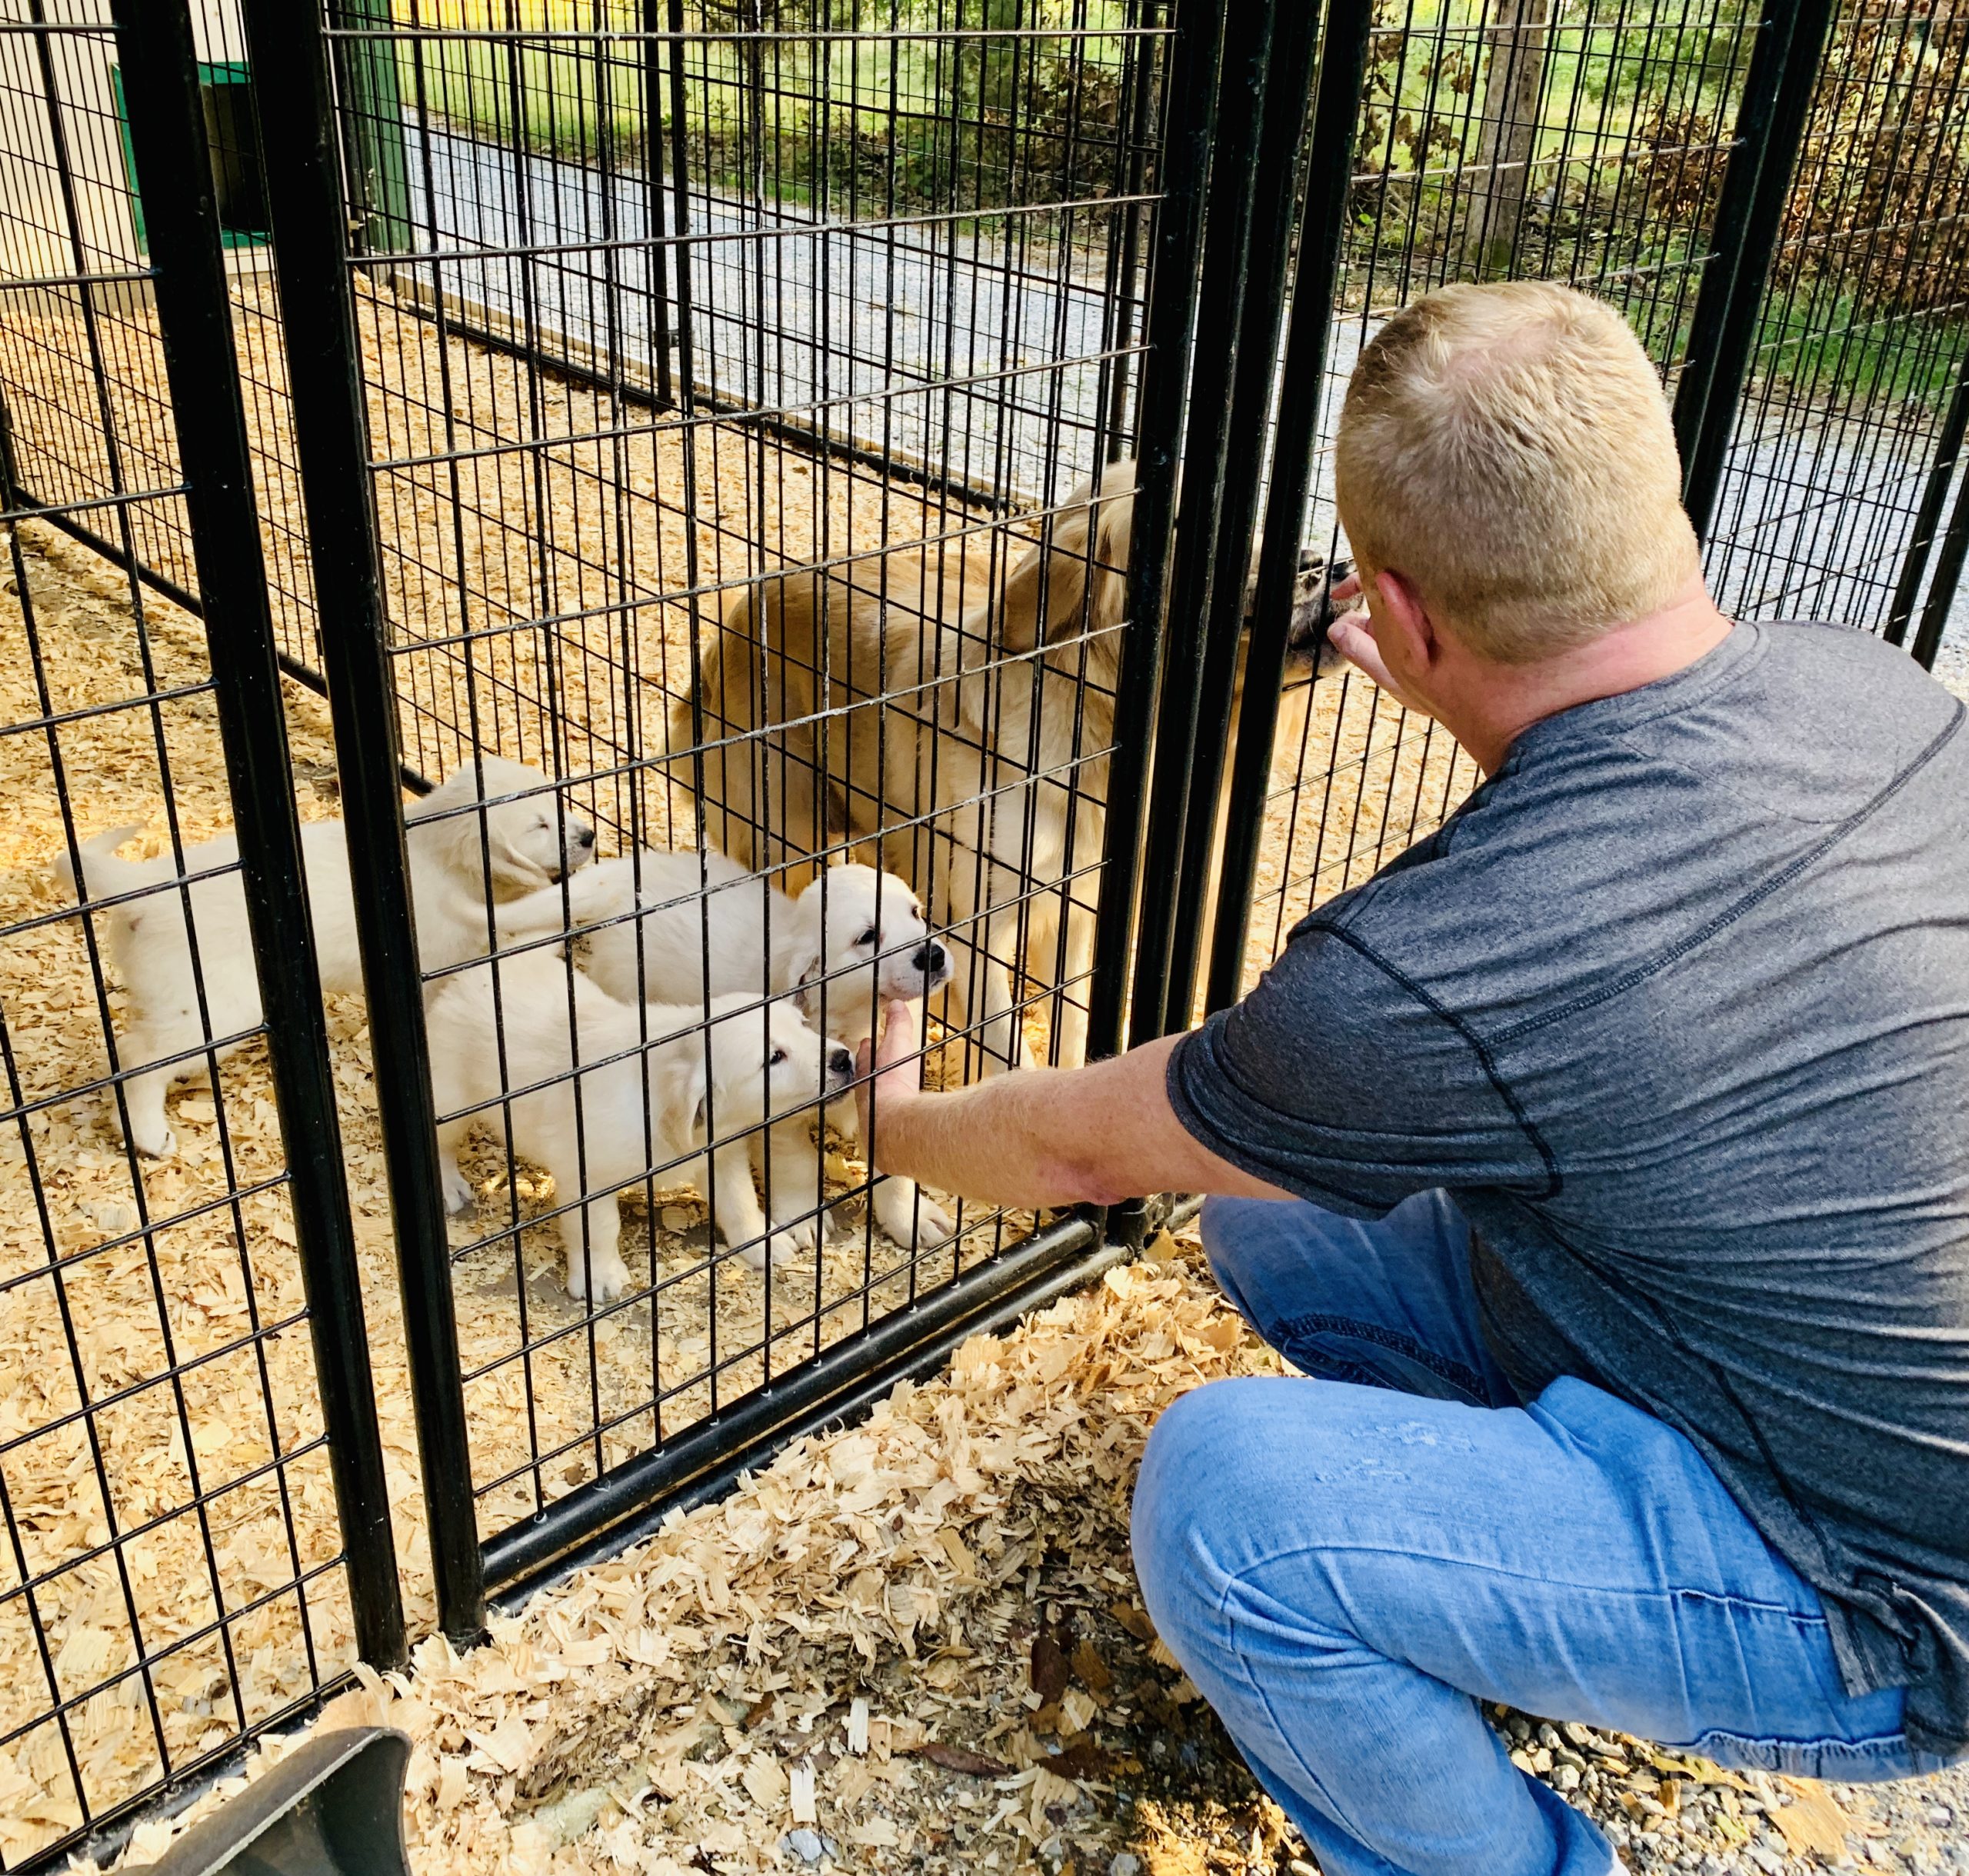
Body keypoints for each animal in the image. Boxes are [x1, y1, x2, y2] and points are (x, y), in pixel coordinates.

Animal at [55, 755, 591, 1149]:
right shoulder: (439, 966)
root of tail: (143, 886)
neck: (434, 855)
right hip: (214, 1004)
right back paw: (148, 1135)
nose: (588, 835)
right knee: (137, 1055)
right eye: (539, 826)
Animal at [423, 952, 855, 1299]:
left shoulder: (720, 1154)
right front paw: (599, 1277)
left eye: (805, 1025)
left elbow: (740, 1202)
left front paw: (761, 1243)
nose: (844, 1059)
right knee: (440, 1143)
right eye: (774, 1058)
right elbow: (598, 1227)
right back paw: (448, 1187)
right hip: (451, 1097)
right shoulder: (588, 1176)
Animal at [500, 850, 961, 1244]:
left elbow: (894, 1163)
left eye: (916, 913)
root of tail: (635, 867)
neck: (850, 1016)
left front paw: (911, 1216)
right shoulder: (773, 1110)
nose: (934, 955)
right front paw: (803, 1216)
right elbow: (795, 1161)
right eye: (867, 937)